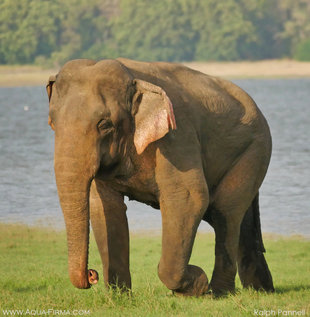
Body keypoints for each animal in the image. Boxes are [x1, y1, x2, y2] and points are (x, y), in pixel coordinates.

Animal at [46, 57, 274, 296]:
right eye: (52, 122)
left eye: (105, 124)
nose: (92, 275)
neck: (133, 77)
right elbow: (104, 206)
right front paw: (120, 296)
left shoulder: (177, 133)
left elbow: (187, 198)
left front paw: (196, 282)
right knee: (236, 217)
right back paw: (261, 289)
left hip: (255, 150)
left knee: (225, 211)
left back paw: (220, 293)